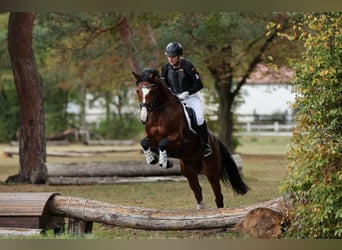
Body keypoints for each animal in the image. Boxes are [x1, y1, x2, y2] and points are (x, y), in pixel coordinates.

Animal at [133, 68, 248, 209]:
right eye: (137, 90)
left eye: (152, 91)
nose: (144, 117)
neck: (160, 113)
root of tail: (215, 140)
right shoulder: (152, 138)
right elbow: (144, 142)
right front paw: (152, 159)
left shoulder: (178, 139)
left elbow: (162, 143)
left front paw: (164, 162)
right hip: (189, 170)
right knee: (198, 192)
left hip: (211, 170)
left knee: (218, 197)